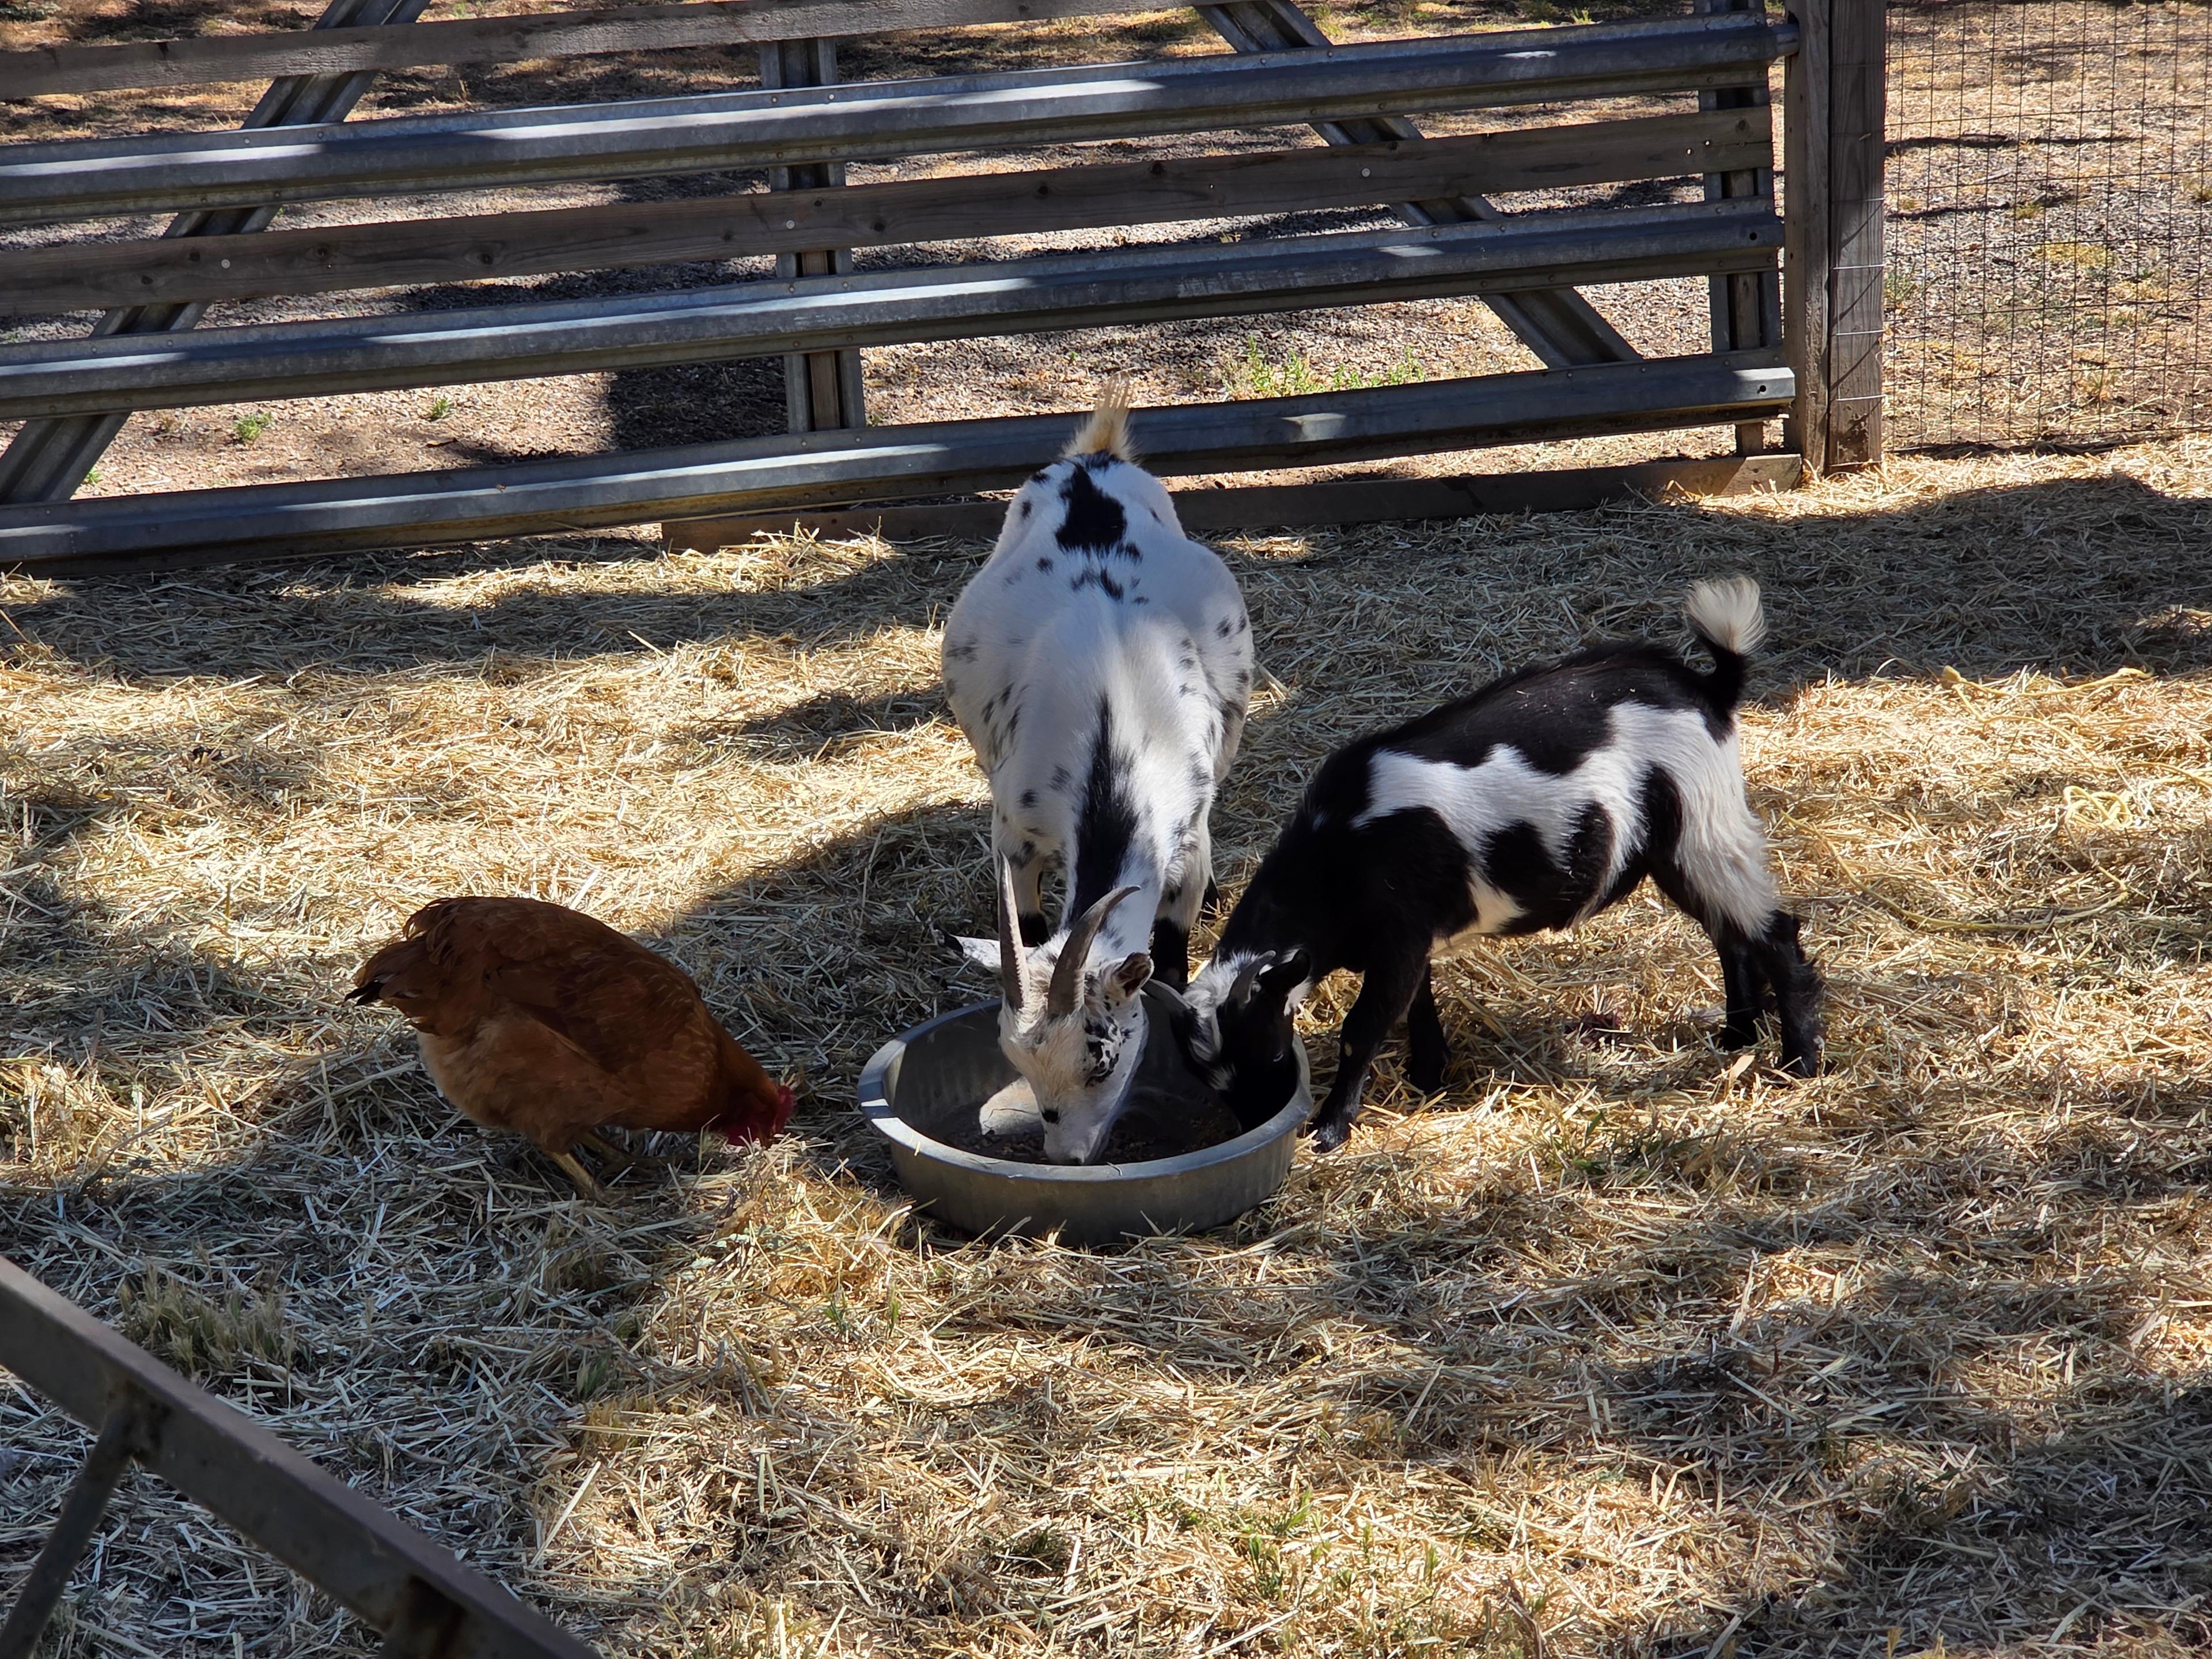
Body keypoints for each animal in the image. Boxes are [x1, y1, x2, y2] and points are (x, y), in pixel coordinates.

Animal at [944, 386, 1253, 1163]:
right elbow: (1026, 926)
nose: (1068, 1158)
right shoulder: (1015, 837)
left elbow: (1168, 965)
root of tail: (1094, 463)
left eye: (1102, 1058)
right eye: (1015, 1061)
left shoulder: (1186, 846)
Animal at [1175, 578, 1823, 1153]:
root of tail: (1709, 687)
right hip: (1681, 849)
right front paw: (1428, 1077)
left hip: (1707, 827)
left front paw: (1331, 1128)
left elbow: (1363, 1029)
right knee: (1730, 934)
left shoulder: (1399, 936)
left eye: (1273, 1052)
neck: (1338, 848)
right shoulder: (1408, 941)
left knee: (1775, 934)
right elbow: (1417, 1006)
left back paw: (1800, 1062)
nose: (1257, 1123)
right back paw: (1736, 1035)